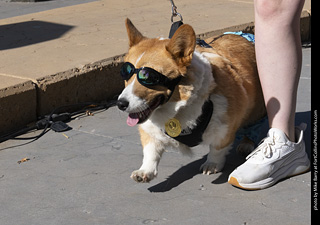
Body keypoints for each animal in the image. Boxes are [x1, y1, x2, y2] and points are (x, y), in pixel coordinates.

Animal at [117, 18, 264, 183]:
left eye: (147, 77)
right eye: (125, 73)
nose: (120, 104)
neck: (175, 110)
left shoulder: (225, 126)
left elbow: (217, 149)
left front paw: (212, 164)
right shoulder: (150, 130)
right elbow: (151, 151)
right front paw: (145, 171)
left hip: (257, 110)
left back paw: (246, 143)